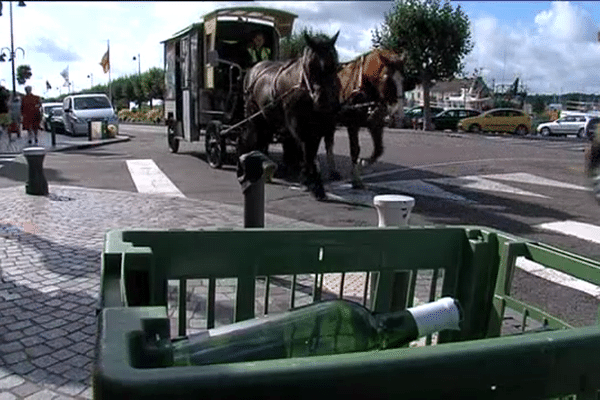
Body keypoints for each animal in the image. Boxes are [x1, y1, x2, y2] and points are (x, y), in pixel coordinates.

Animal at [240, 32, 342, 200]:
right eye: (309, 65)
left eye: (334, 65)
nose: (323, 101)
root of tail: (254, 69)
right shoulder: (300, 127)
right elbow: (307, 153)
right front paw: (314, 184)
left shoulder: (319, 127)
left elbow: (310, 152)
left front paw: (309, 180)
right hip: (254, 116)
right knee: (253, 137)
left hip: (268, 120)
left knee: (263, 139)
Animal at [326, 48, 414, 189]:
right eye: (387, 78)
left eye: (403, 80)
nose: (398, 115)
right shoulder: (352, 124)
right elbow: (355, 149)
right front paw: (357, 178)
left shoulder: (376, 124)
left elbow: (379, 150)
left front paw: (363, 163)